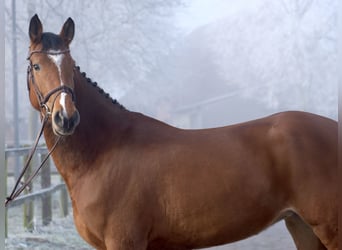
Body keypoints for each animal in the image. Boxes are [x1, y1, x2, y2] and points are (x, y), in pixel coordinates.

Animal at [26, 14, 336, 249]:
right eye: (36, 65)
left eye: (70, 66)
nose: (65, 118)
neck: (102, 153)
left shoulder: (125, 241)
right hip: (301, 225)